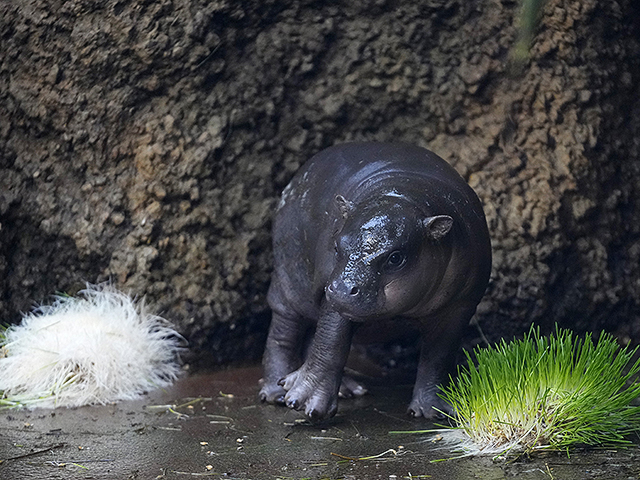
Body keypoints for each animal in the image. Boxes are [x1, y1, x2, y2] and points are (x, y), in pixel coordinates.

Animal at [258, 142, 490, 420]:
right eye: (337, 245)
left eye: (396, 257)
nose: (341, 288)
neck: (404, 196)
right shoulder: (333, 292)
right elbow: (330, 341)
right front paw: (305, 401)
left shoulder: (461, 305)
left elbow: (438, 356)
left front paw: (433, 411)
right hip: (291, 282)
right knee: (283, 332)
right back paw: (276, 392)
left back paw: (346, 390)